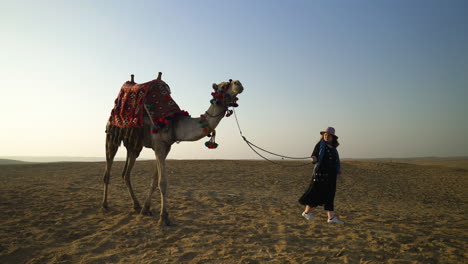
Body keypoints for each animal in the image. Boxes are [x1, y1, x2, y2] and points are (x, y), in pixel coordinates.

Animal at [100, 72, 243, 225]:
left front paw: (146, 209)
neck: (175, 123)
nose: (238, 83)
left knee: (126, 174)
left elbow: (154, 181)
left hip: (134, 146)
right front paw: (164, 217)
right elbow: (162, 182)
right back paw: (105, 205)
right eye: (223, 86)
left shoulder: (166, 147)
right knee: (108, 171)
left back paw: (136, 205)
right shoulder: (159, 146)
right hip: (112, 136)